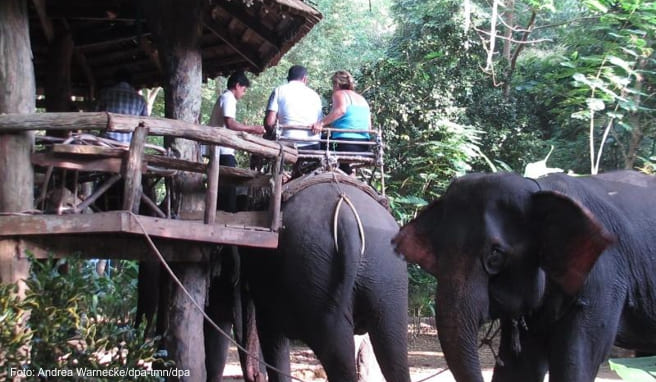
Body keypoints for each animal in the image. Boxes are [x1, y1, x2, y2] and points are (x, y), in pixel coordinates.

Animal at [243, 174, 412, 382]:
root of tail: (347, 218)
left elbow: (271, 337)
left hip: (313, 270)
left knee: (335, 351)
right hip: (387, 273)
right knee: (393, 347)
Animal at [392, 172, 656, 380]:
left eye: (495, 256)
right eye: (438, 257)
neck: (538, 188)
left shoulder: (603, 279)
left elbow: (575, 361)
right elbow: (519, 368)